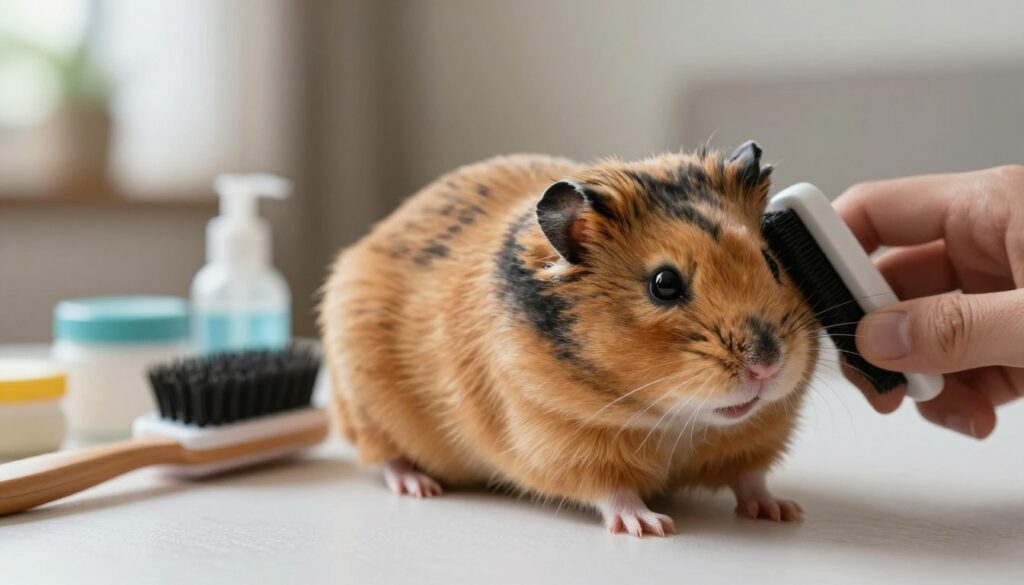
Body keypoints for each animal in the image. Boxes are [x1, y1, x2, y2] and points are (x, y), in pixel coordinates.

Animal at [319, 142, 818, 536]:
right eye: (664, 284)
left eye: (772, 262)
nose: (767, 365)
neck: (678, 420)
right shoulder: (561, 441)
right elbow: (613, 491)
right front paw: (652, 527)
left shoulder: (756, 436)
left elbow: (750, 479)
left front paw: (783, 512)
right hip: (367, 409)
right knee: (384, 458)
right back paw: (420, 487)